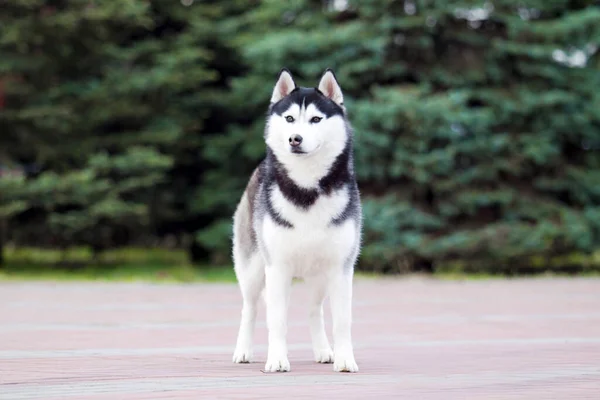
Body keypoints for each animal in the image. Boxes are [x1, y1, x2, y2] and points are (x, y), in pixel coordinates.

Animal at [231, 68, 360, 372]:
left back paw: (324, 351)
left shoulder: (341, 268)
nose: (295, 139)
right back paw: (243, 351)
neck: (306, 187)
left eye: (316, 119)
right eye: (289, 119)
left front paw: (344, 359)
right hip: (253, 268)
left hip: (319, 277)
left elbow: (342, 320)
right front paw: (277, 359)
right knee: (250, 308)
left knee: (315, 310)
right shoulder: (277, 267)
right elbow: (276, 319)